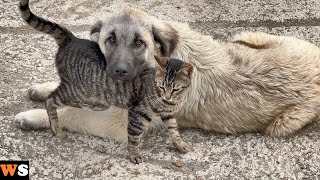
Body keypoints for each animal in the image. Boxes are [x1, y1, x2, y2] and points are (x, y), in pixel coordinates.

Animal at [15, 8, 320, 141]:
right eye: (110, 39)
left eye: (139, 43)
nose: (118, 72)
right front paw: (44, 89)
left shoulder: (117, 124)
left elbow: (73, 113)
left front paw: (34, 116)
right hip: (247, 36)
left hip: (280, 126)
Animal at [19, 0, 192, 164]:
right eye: (111, 39)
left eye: (138, 42)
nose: (120, 71)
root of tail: (71, 39)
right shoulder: (128, 119)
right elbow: (132, 139)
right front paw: (134, 155)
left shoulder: (165, 114)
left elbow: (174, 129)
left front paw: (180, 144)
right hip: (77, 91)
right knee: (52, 100)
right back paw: (53, 124)